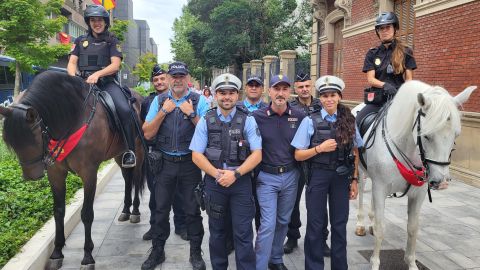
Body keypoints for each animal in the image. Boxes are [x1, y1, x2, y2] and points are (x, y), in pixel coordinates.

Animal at [0, 70, 146, 268]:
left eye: (35, 138)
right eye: (11, 142)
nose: (32, 176)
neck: (72, 118)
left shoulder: (89, 173)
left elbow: (87, 214)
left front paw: (87, 256)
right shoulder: (55, 173)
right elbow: (58, 211)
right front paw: (56, 253)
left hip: (137, 151)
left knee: (136, 179)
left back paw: (135, 211)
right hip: (119, 153)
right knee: (127, 178)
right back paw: (125, 210)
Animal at [352, 80, 476, 270]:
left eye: (456, 135)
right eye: (426, 136)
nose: (441, 182)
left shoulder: (418, 193)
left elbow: (413, 228)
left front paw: (411, 263)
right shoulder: (381, 187)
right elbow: (381, 228)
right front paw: (375, 263)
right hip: (360, 170)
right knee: (360, 190)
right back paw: (360, 224)